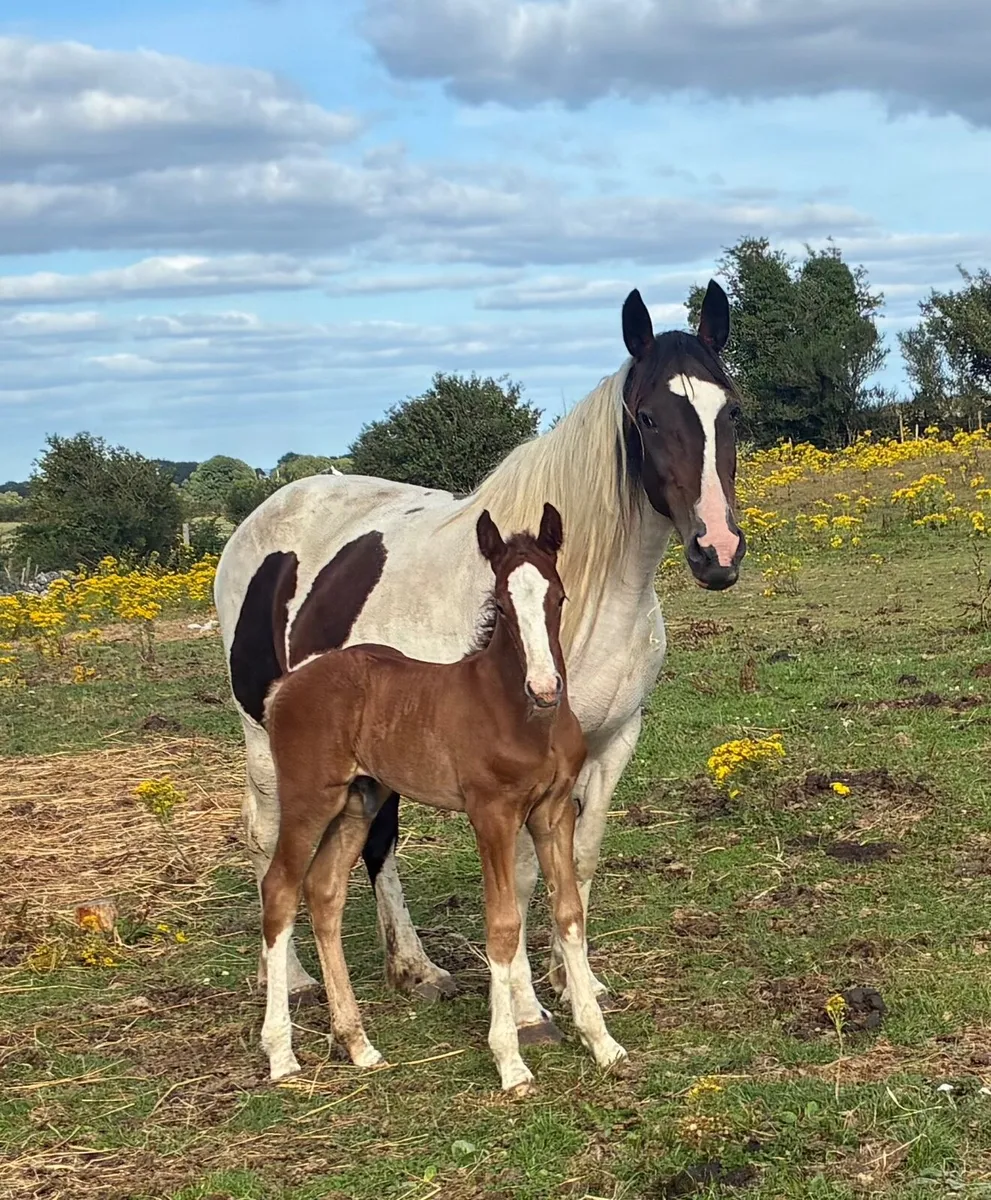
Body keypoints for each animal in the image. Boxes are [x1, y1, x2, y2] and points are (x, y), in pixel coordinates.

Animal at [259, 504, 625, 1092]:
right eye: (502, 605)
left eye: (558, 597)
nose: (545, 688)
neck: (518, 714)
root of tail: (286, 684)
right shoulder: (491, 815)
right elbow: (502, 924)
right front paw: (511, 1060)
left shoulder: (552, 812)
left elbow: (569, 913)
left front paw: (603, 1043)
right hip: (309, 797)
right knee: (280, 890)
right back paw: (281, 1055)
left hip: (360, 801)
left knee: (323, 892)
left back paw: (358, 1044)